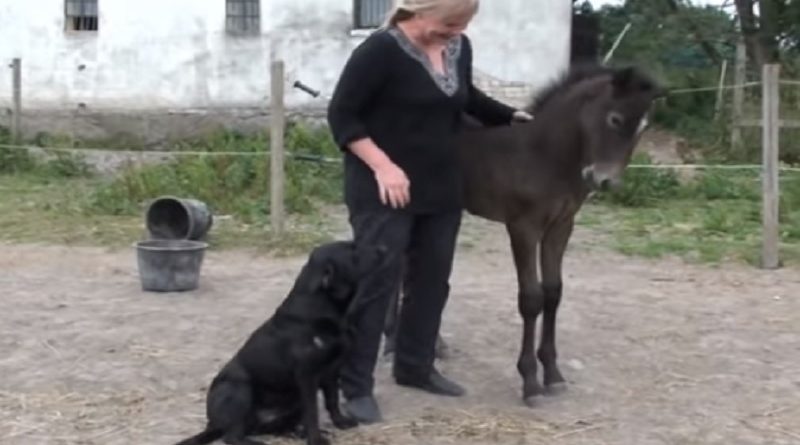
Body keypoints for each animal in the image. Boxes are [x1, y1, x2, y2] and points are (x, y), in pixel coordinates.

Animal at [174, 239, 388, 444]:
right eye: (353, 251)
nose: (383, 249)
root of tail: (212, 425)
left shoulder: (332, 370)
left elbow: (332, 400)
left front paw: (340, 422)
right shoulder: (307, 376)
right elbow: (312, 412)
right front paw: (316, 439)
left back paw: (295, 433)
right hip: (238, 389)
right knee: (232, 436)